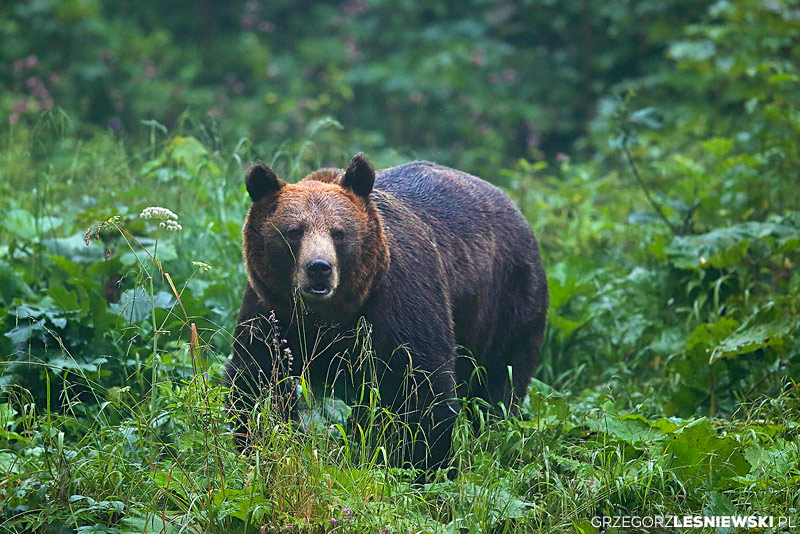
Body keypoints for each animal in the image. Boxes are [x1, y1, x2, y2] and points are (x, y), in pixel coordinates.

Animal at [225, 153, 552, 476]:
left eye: (339, 232)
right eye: (293, 231)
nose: (319, 268)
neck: (330, 316)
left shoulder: (399, 302)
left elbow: (420, 388)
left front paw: (420, 464)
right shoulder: (272, 311)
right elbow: (256, 378)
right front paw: (253, 444)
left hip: (508, 302)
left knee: (499, 381)